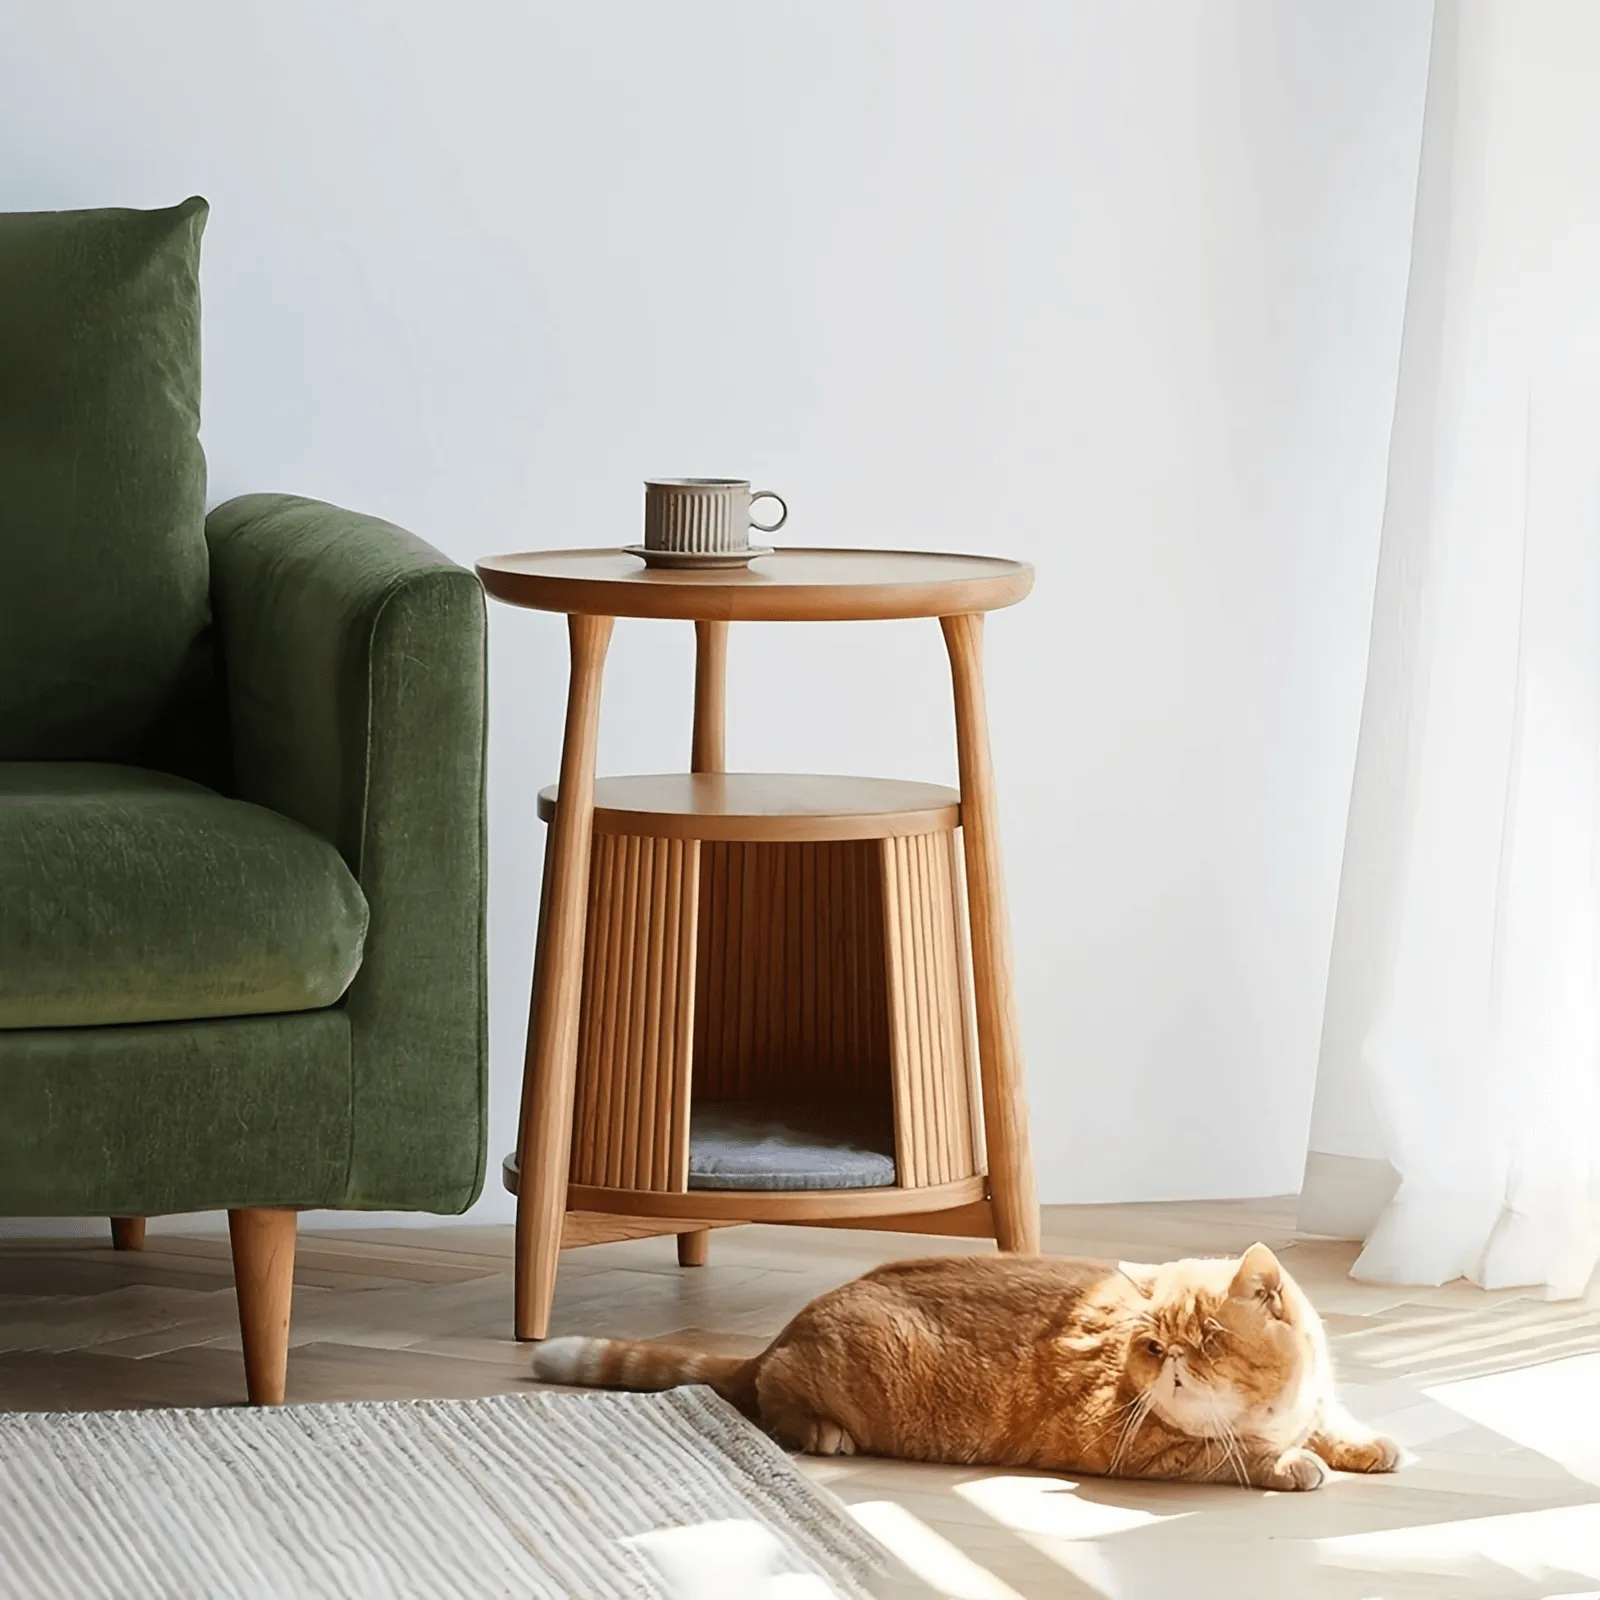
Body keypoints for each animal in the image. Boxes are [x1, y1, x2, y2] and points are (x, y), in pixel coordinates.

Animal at [531, 1248, 1395, 1484]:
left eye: (1208, 1337)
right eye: (1154, 1346)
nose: (1172, 1365)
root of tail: (781, 1333)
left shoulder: (1315, 1401)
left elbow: (1332, 1419)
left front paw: (1364, 1443)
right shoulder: (1145, 1449)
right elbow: (1233, 1455)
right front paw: (1291, 1463)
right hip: (833, 1372)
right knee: (768, 1397)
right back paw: (821, 1432)